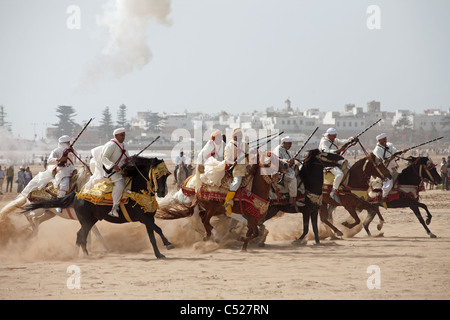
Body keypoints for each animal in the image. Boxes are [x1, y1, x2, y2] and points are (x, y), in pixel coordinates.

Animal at [22, 158, 175, 260]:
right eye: (158, 175)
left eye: (166, 175)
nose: (162, 192)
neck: (137, 191)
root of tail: (76, 194)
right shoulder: (143, 218)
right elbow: (158, 229)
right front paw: (168, 244)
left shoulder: (148, 218)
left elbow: (152, 237)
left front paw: (159, 254)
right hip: (86, 221)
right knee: (80, 235)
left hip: (88, 221)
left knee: (80, 236)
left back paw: (83, 254)